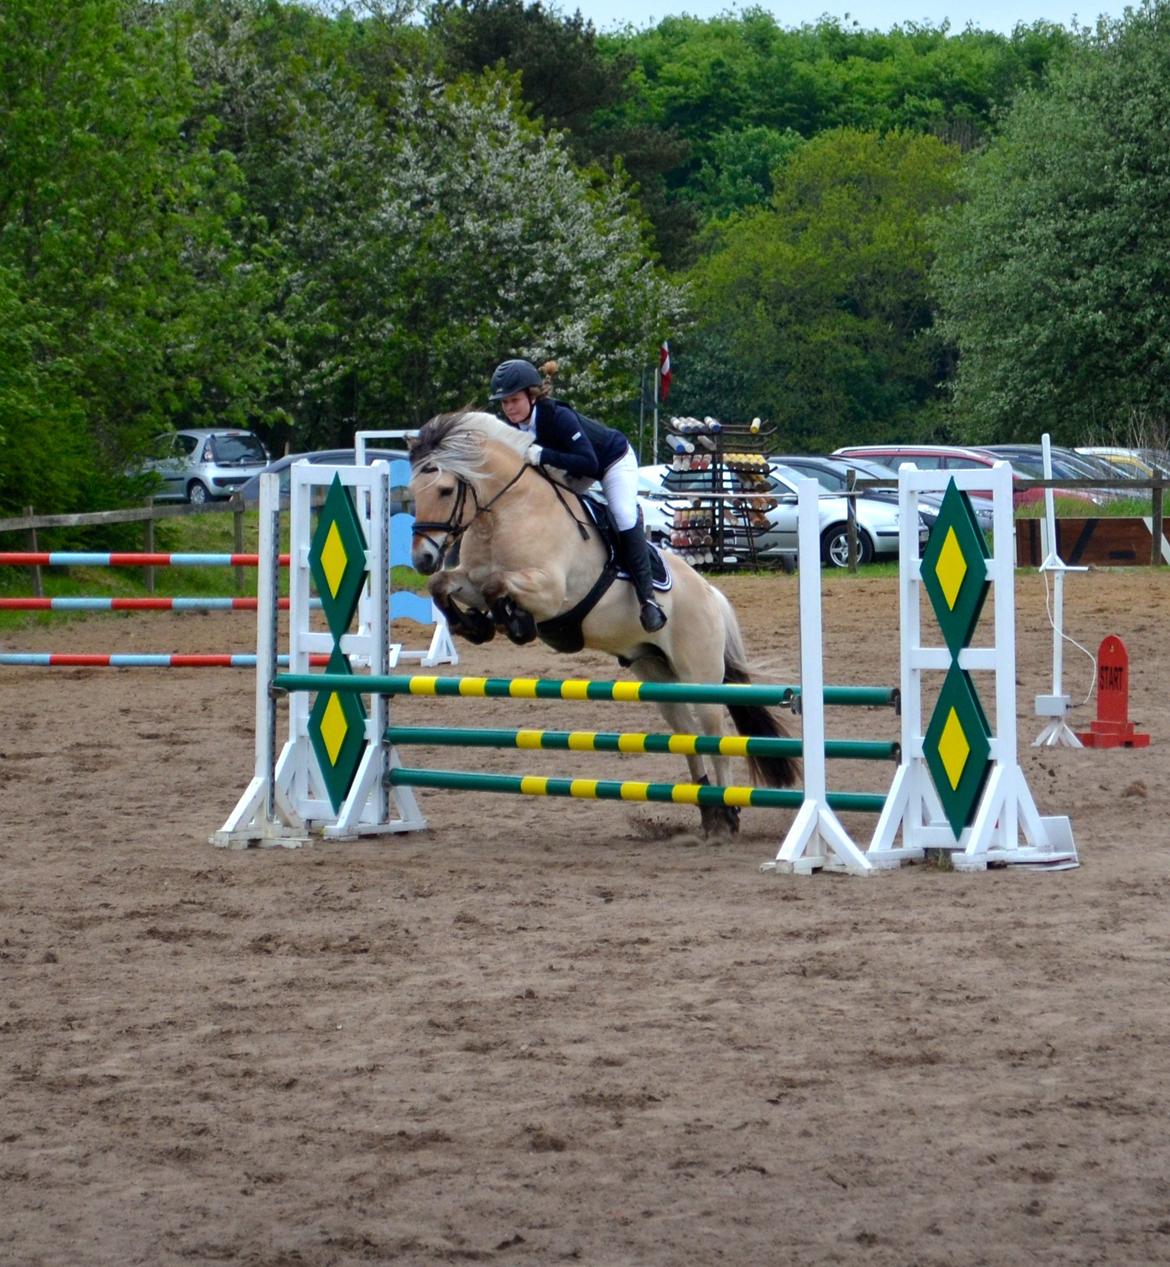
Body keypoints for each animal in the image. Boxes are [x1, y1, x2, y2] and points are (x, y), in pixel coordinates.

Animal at [408, 410, 801, 836]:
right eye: (412, 491)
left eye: (445, 490)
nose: (421, 558)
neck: (508, 511)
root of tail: (712, 594)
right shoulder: (473, 580)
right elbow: (443, 585)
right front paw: (474, 625)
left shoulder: (550, 591)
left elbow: (500, 587)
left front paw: (515, 625)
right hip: (658, 675)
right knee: (687, 735)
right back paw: (708, 810)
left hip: (700, 677)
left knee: (717, 740)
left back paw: (727, 816)